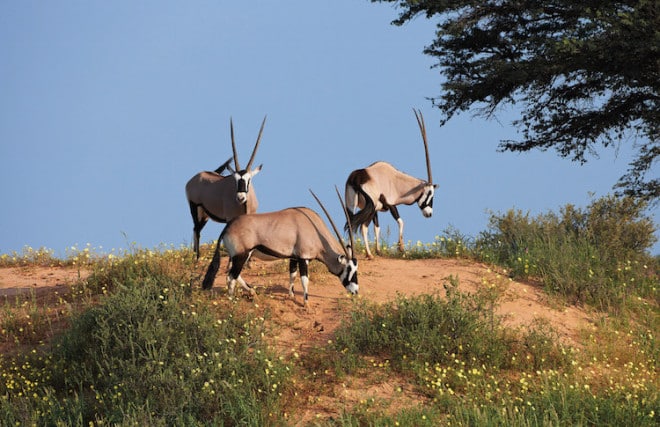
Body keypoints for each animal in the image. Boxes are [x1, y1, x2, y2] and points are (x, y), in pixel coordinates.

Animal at [183, 115, 266, 260]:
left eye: (249, 180)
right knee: (196, 230)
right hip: (194, 208)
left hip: (204, 215)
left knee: (196, 229)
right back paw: (197, 257)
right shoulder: (230, 219)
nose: (240, 197)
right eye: (235, 179)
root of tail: (196, 177)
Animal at [201, 189, 358, 306]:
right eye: (349, 269)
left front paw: (292, 296)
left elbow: (292, 275)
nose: (355, 292)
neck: (314, 228)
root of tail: (227, 227)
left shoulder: (294, 257)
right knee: (231, 276)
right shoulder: (303, 258)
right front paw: (306, 303)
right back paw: (232, 300)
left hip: (239, 256)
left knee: (232, 273)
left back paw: (252, 293)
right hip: (242, 255)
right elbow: (304, 279)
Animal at [346, 108, 438, 260]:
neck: (395, 180)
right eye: (430, 193)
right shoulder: (390, 204)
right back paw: (369, 254)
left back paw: (350, 253)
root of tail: (357, 179)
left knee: (351, 222)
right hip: (369, 208)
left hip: (353, 206)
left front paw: (378, 250)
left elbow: (377, 228)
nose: (429, 214)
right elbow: (400, 221)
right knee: (363, 226)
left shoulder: (376, 209)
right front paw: (401, 248)